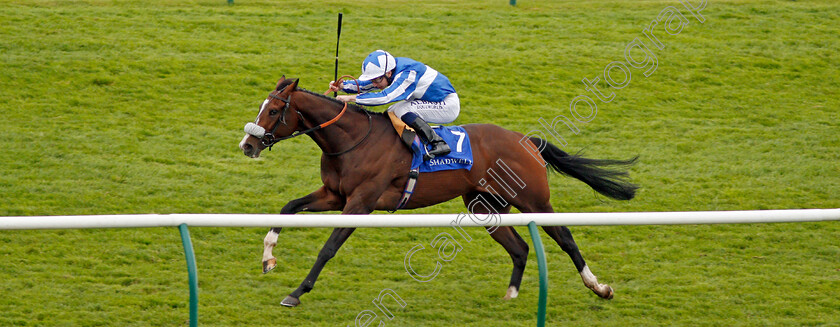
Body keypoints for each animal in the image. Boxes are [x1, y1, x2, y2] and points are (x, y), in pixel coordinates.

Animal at [236, 76, 636, 308]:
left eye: (274, 109)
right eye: (262, 106)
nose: (247, 146)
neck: (352, 140)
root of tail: (527, 141)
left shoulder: (360, 204)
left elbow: (328, 248)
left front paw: (297, 292)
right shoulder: (334, 196)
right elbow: (288, 208)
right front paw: (268, 257)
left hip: (534, 199)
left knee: (564, 236)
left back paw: (599, 287)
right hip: (484, 206)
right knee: (520, 247)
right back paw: (510, 295)